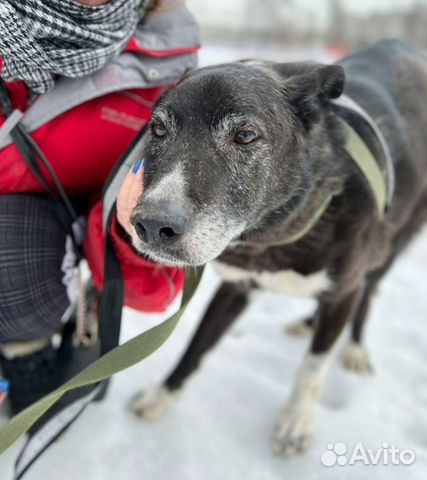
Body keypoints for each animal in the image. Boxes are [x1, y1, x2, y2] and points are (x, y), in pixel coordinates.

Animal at [125, 40, 426, 454]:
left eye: (244, 136)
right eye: (158, 129)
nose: (152, 226)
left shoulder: (345, 287)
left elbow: (313, 365)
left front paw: (296, 422)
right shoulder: (237, 285)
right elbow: (198, 344)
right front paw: (163, 395)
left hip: (391, 245)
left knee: (369, 289)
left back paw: (354, 348)